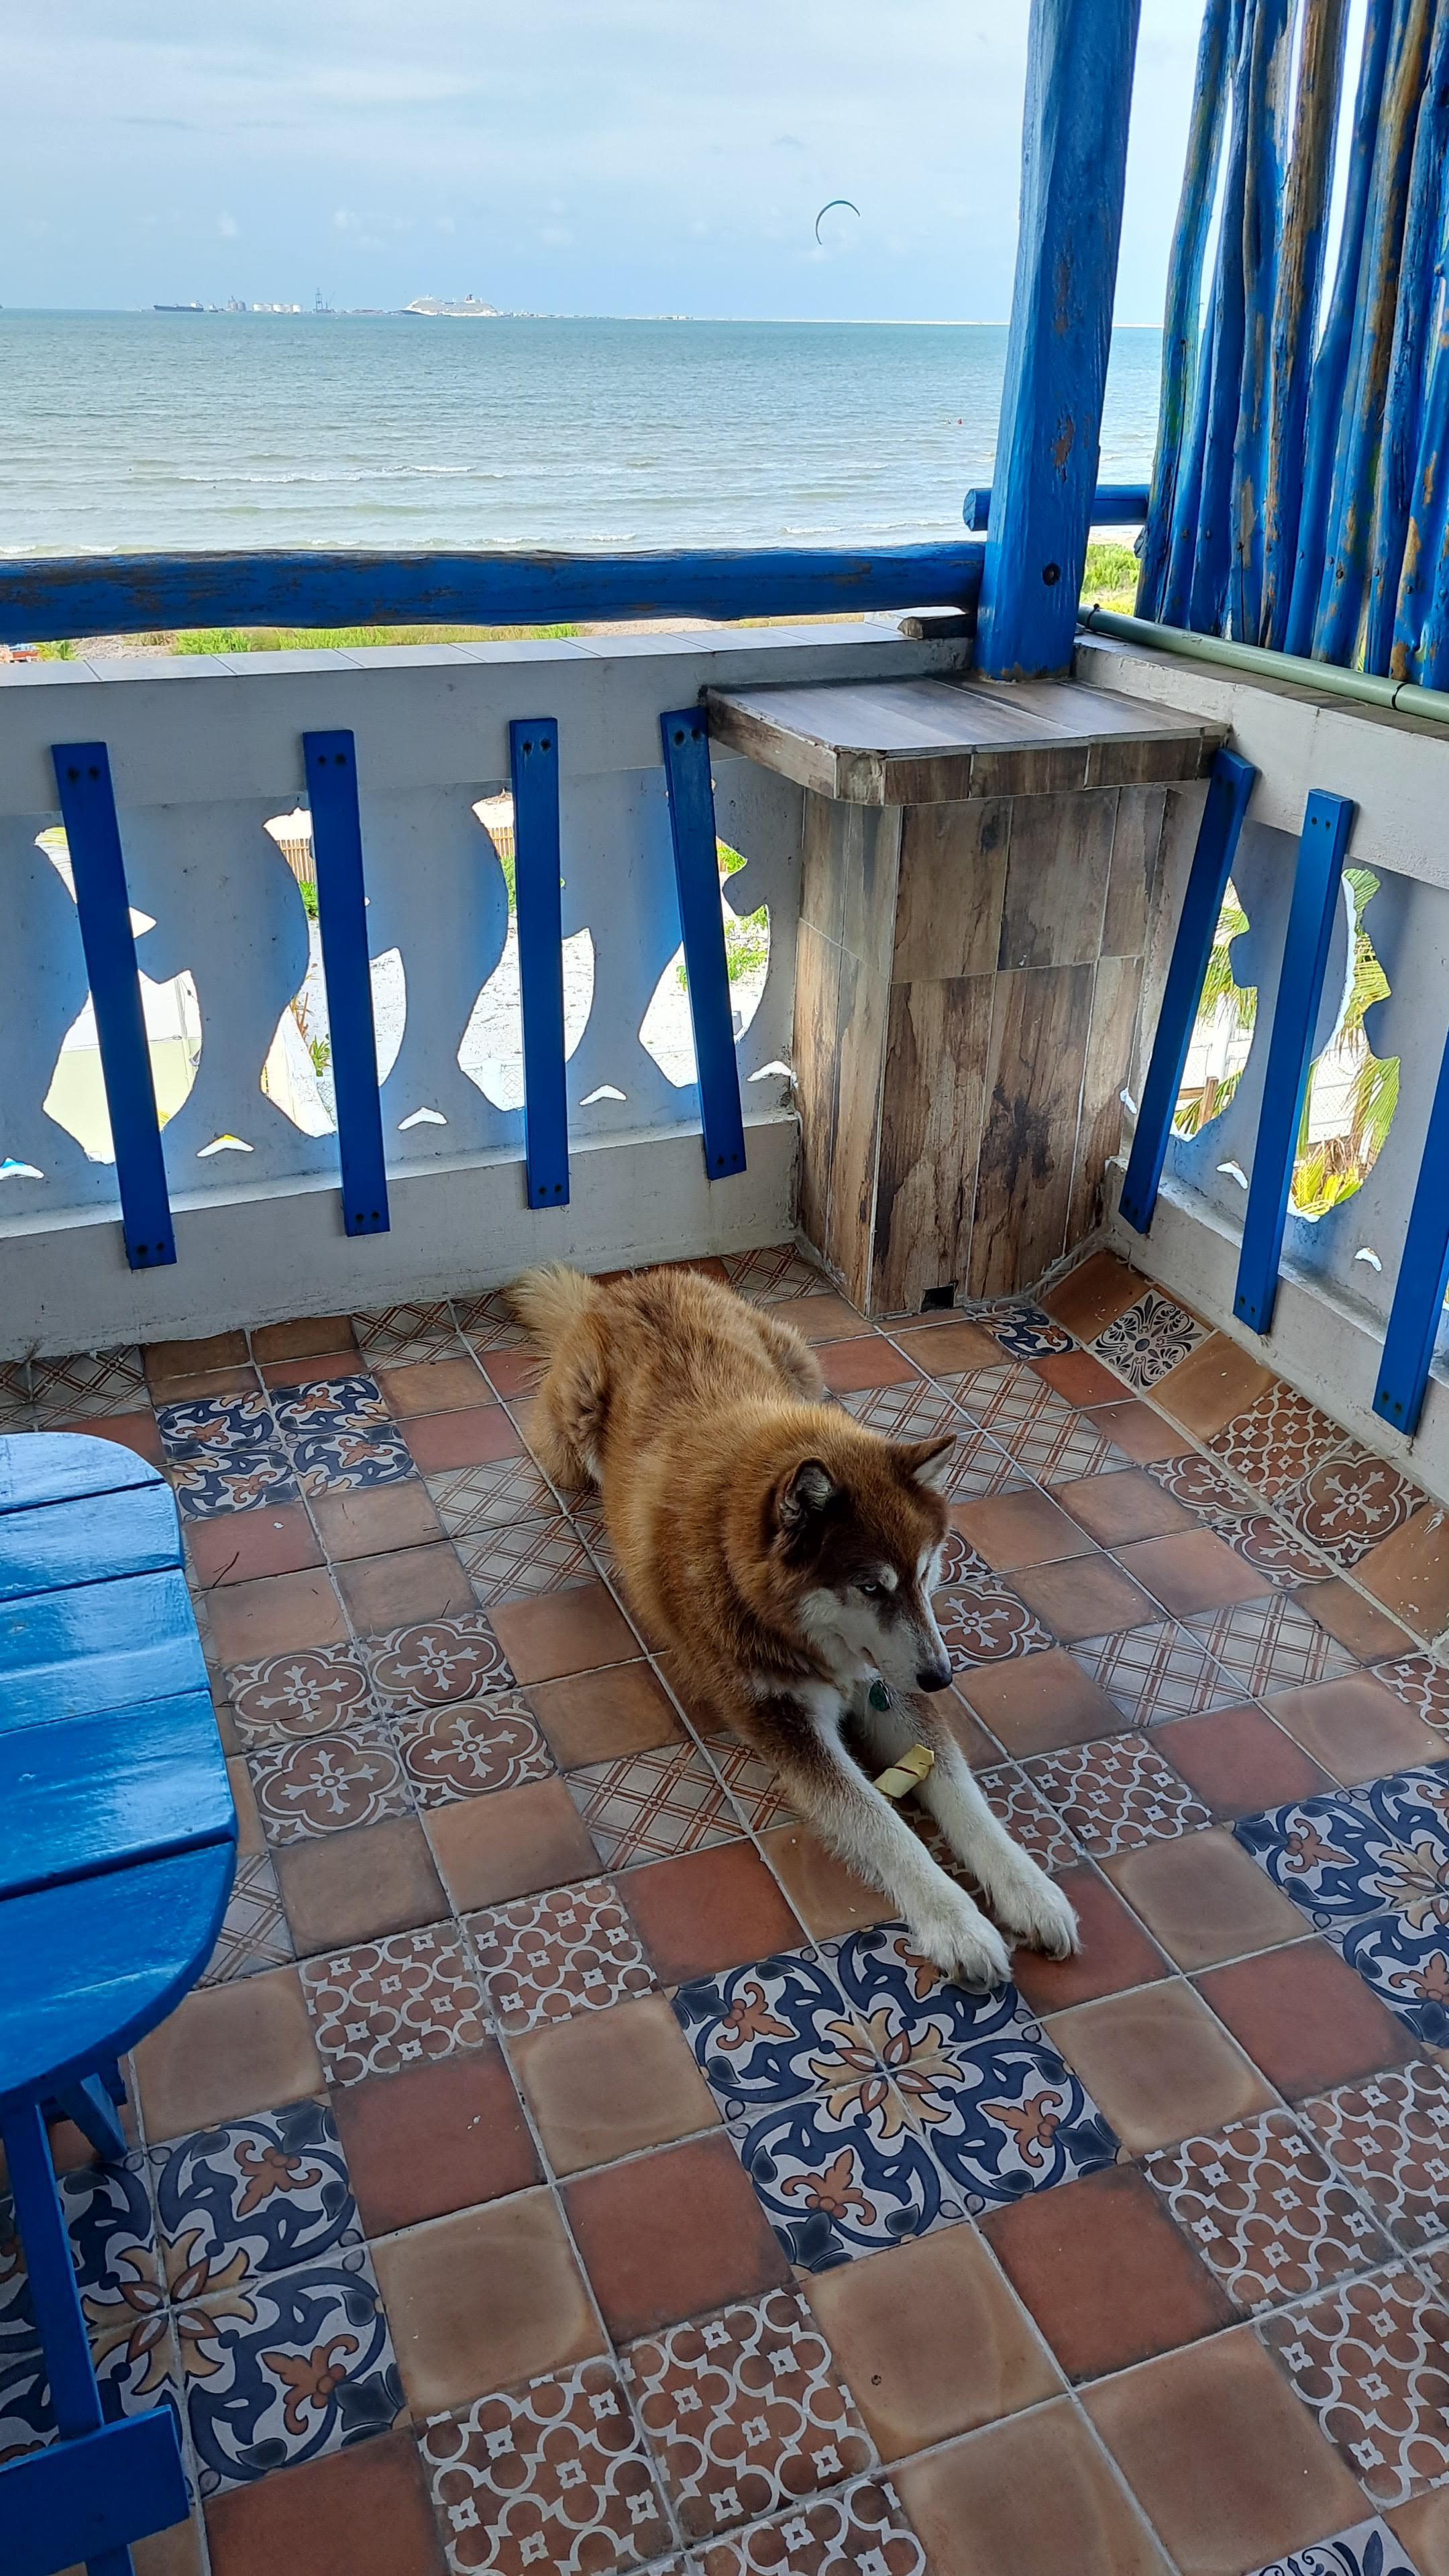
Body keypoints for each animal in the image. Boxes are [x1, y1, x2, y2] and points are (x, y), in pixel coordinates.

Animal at [508, 1256, 1072, 1978]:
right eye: (870, 1586)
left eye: (925, 1574)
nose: (942, 1677)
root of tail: (627, 1286)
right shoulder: (782, 1719)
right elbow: (882, 1824)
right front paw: (955, 1922)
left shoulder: (896, 1691)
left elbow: (962, 1793)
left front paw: (1030, 1889)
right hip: (576, 1431)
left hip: (799, 1364)